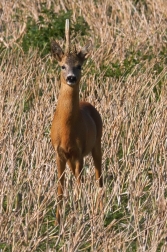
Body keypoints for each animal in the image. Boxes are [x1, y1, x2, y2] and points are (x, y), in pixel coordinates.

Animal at [51, 20, 103, 224]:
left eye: (79, 66)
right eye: (62, 66)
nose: (71, 78)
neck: (67, 130)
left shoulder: (79, 151)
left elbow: (79, 188)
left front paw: (78, 215)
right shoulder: (59, 153)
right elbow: (60, 189)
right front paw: (57, 221)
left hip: (97, 144)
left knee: (98, 179)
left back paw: (99, 211)